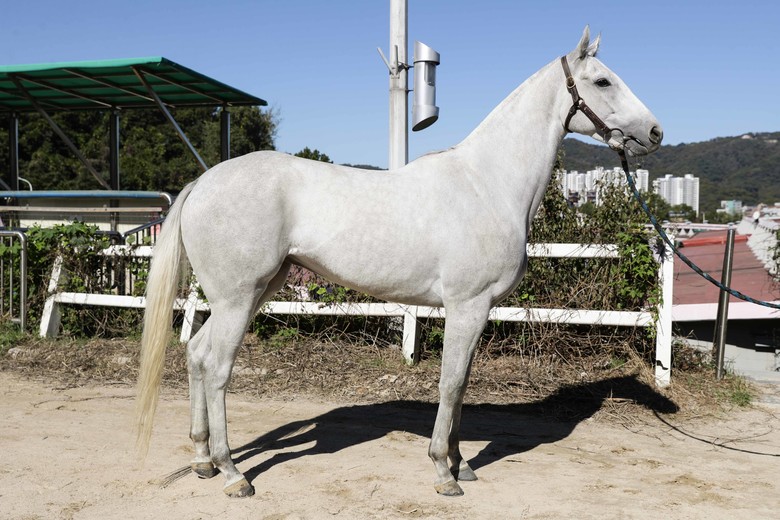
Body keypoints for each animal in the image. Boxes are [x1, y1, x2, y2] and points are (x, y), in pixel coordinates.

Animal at [135, 26, 663, 498]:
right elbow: (450, 384)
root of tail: (203, 183)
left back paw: (202, 460)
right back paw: (232, 474)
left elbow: (461, 386)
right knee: (216, 367)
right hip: (238, 297)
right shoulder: (467, 307)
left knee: (196, 355)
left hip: (248, 295)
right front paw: (444, 473)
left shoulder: (477, 311)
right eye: (602, 81)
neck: (487, 183)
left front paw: (462, 464)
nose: (655, 132)